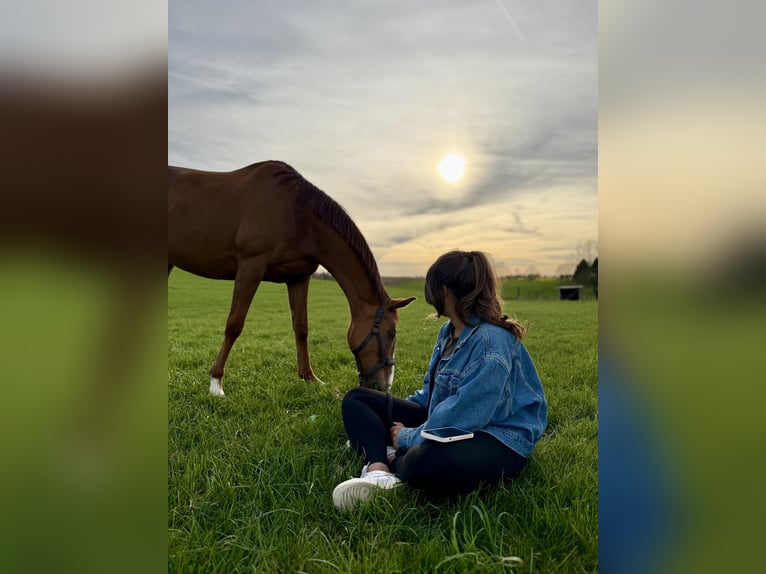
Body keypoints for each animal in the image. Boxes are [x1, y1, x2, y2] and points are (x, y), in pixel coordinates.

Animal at [168, 160, 415, 396]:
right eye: (391, 333)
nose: (384, 386)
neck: (296, 215)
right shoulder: (251, 267)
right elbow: (234, 325)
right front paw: (216, 382)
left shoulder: (299, 277)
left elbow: (301, 327)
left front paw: (309, 377)